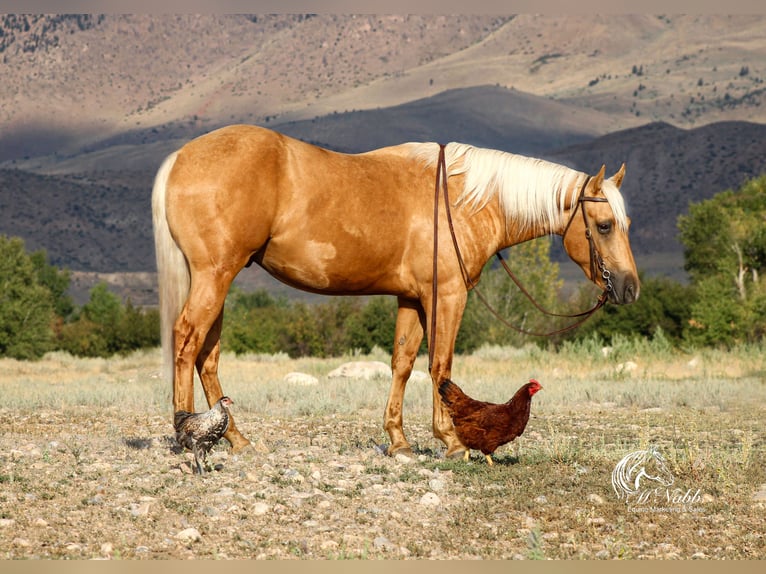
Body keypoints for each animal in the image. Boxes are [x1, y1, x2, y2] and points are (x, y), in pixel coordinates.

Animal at [152, 124, 639, 459]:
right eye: (604, 225)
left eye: (625, 222)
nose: (630, 288)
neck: (463, 199)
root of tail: (181, 157)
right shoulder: (447, 296)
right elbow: (441, 366)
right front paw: (451, 440)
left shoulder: (411, 298)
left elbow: (403, 363)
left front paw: (399, 440)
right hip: (215, 275)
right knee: (187, 342)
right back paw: (185, 433)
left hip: (217, 280)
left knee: (207, 356)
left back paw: (237, 438)